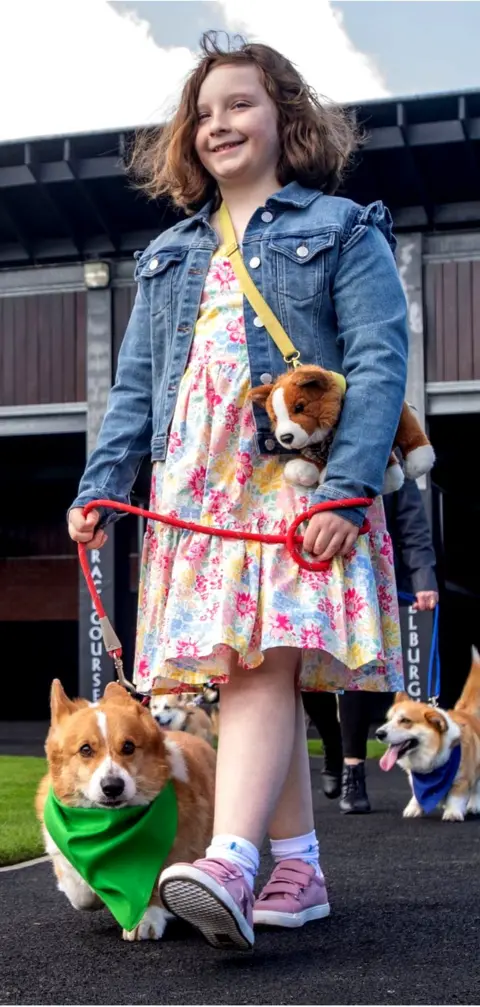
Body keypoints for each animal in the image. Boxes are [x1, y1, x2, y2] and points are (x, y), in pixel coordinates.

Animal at [36, 680, 215, 938]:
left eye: (128, 746)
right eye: (85, 750)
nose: (112, 787)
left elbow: (155, 883)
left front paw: (146, 919)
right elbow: (80, 893)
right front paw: (93, 894)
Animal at [374, 648, 478, 821]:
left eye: (405, 720)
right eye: (388, 719)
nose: (378, 734)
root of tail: (466, 713)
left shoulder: (462, 779)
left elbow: (456, 796)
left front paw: (453, 812)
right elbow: (417, 795)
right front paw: (414, 808)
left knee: (476, 787)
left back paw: (474, 805)